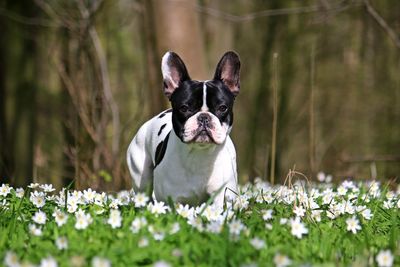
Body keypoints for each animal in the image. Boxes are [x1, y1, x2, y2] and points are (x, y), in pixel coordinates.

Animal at [127, 51, 241, 207]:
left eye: (222, 108)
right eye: (184, 108)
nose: (204, 117)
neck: (200, 153)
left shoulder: (222, 195)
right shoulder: (172, 200)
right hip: (141, 178)